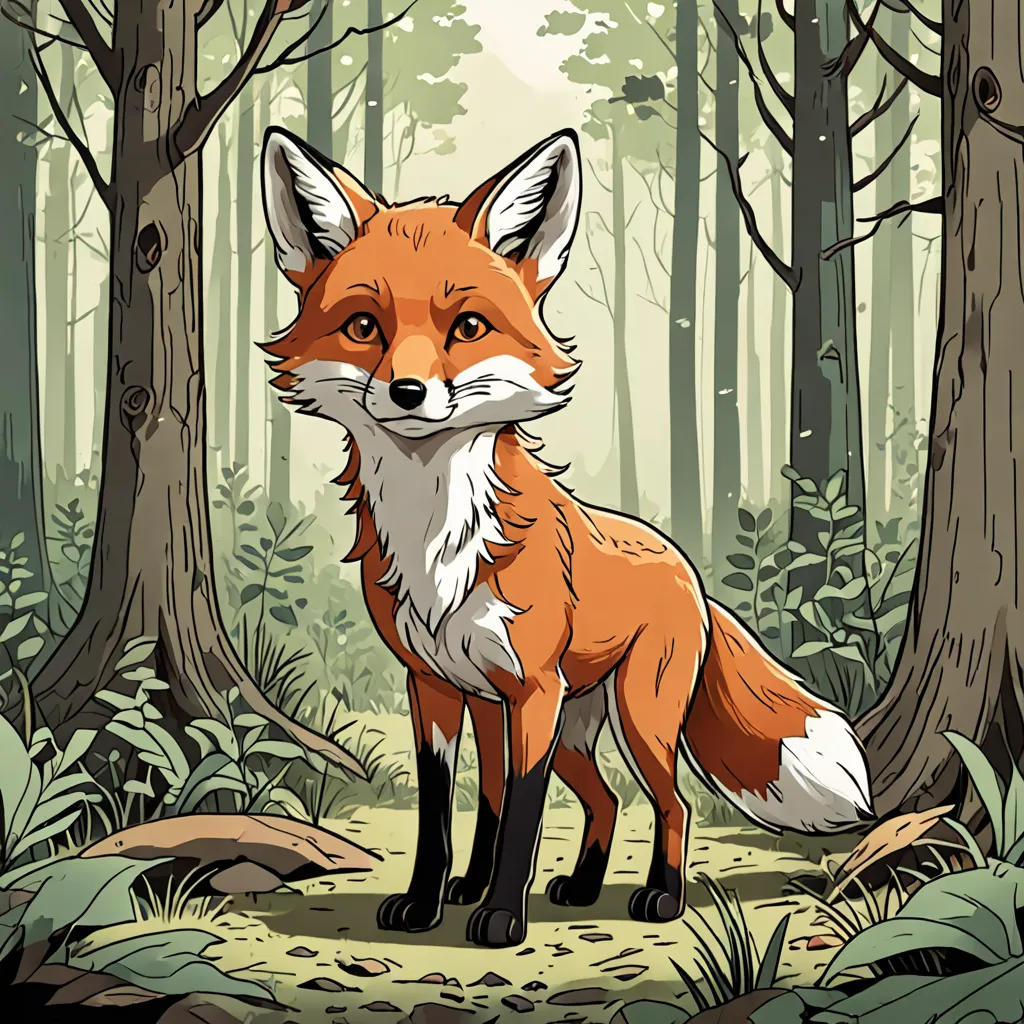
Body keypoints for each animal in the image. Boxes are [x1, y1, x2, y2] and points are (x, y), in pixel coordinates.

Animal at [258, 125, 873, 948]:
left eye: (467, 328)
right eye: (364, 327)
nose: (409, 393)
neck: (438, 541)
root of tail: (688, 569)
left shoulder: (530, 692)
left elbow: (520, 809)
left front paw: (499, 919)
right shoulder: (441, 689)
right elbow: (446, 809)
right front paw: (430, 900)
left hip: (637, 721)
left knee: (671, 803)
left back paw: (661, 896)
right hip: (572, 729)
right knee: (603, 800)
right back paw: (575, 886)